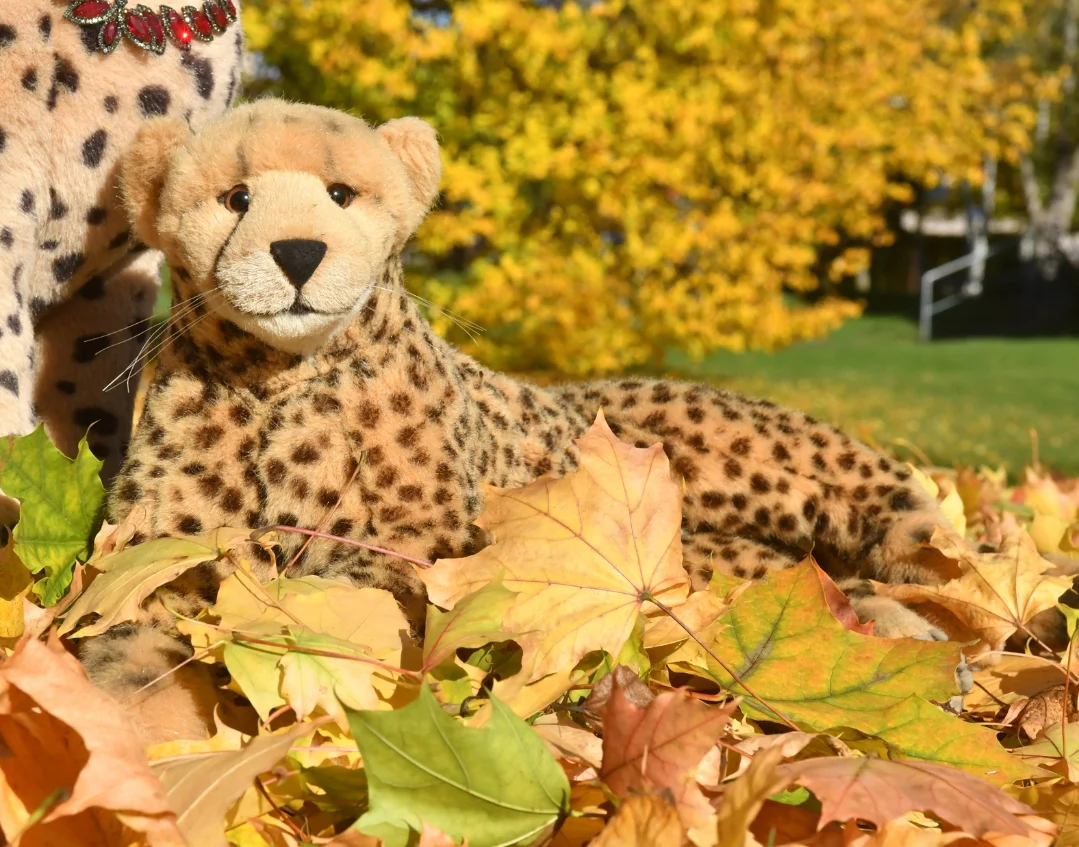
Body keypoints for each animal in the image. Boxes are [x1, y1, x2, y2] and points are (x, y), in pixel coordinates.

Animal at [86, 98, 970, 741]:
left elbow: (338, 592)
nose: (298, 251)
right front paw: (121, 715)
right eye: (235, 198)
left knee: (898, 523)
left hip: (742, 450)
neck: (283, 374)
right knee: (805, 581)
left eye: (341, 194)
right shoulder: (151, 553)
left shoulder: (434, 549)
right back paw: (902, 639)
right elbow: (130, 631)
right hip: (718, 556)